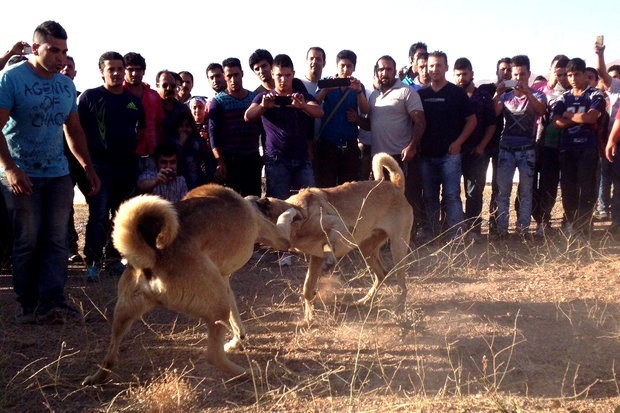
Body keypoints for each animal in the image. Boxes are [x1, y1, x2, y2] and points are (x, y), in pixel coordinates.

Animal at [80, 183, 290, 384]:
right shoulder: (278, 236)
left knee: (110, 358)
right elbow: (285, 224)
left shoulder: (224, 282)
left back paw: (95, 379)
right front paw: (291, 211)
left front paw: (236, 341)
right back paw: (252, 374)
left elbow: (236, 321)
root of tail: (153, 257)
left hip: (123, 314)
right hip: (217, 305)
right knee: (213, 356)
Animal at [249, 151, 414, 322]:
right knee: (382, 274)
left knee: (402, 285)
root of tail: (395, 187)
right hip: (367, 249)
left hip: (397, 248)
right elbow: (307, 289)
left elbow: (330, 240)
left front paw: (330, 258)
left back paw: (398, 309)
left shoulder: (341, 225)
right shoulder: (315, 258)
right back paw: (365, 301)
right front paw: (308, 318)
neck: (297, 213)